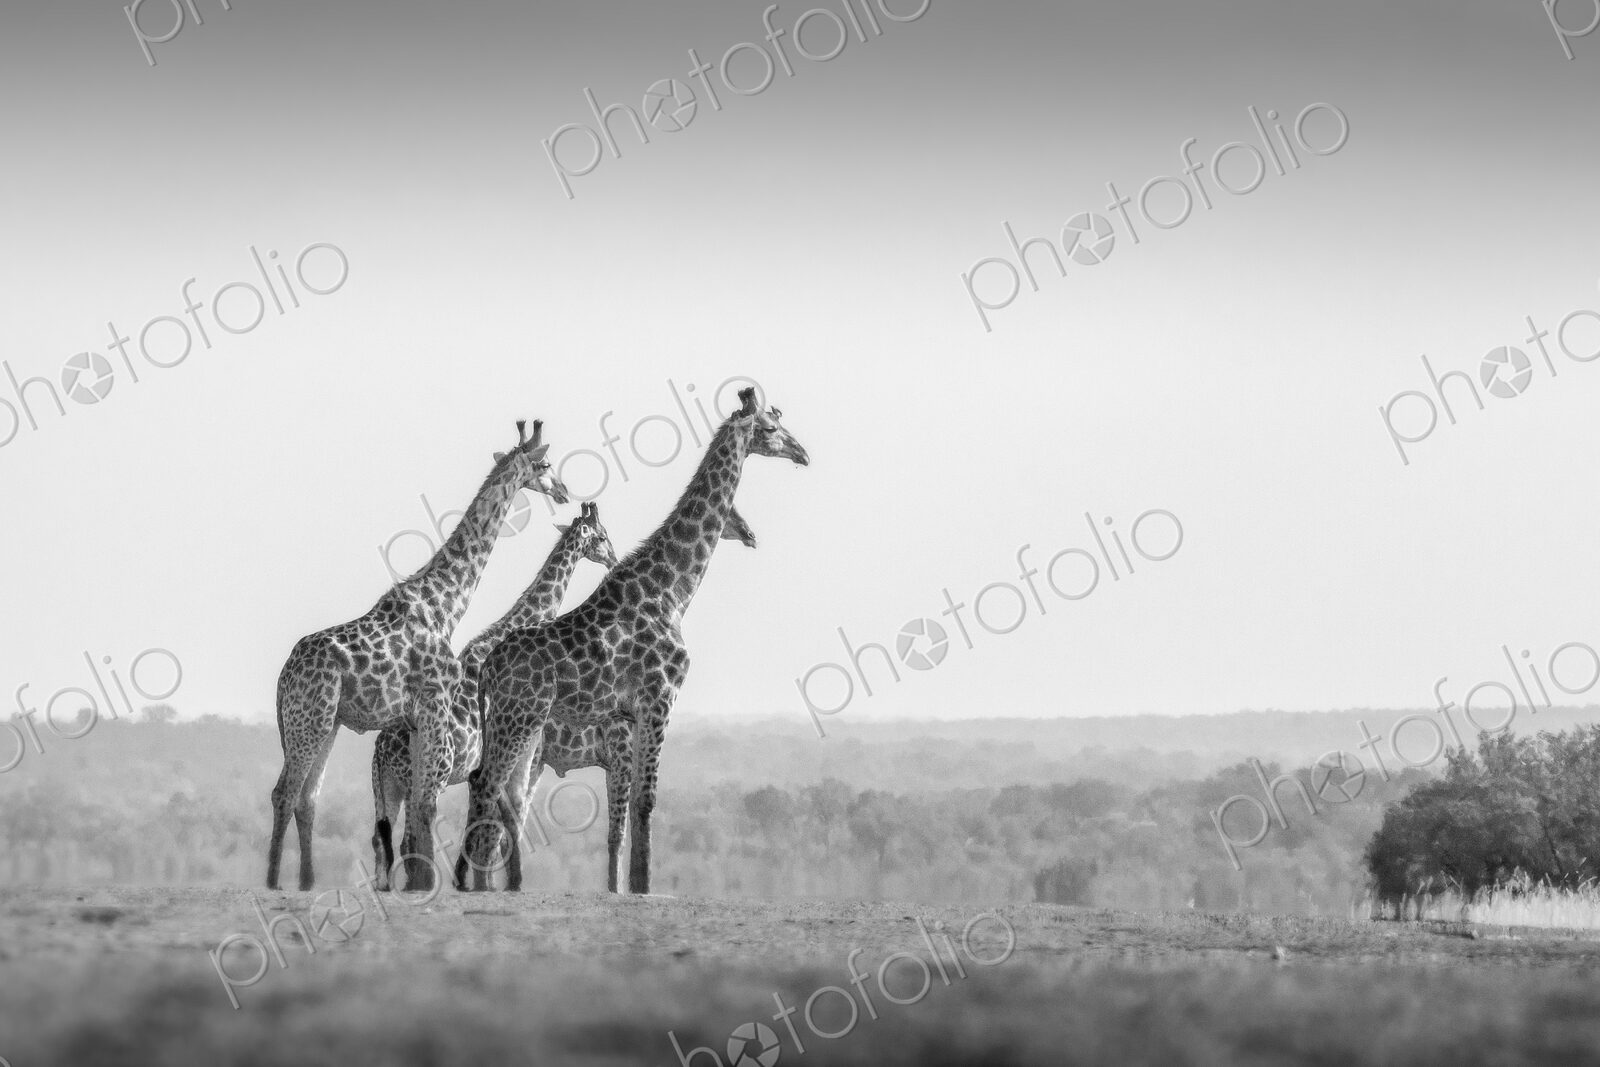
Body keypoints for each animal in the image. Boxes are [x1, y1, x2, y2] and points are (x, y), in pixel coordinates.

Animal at [266, 420, 568, 892]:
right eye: (547, 464)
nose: (565, 492)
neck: (446, 606)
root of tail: (283, 677)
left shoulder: (413, 719)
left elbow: (419, 810)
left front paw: (419, 883)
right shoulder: (434, 703)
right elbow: (426, 805)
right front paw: (425, 886)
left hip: (325, 722)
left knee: (307, 797)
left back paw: (308, 882)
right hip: (309, 718)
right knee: (285, 792)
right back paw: (274, 881)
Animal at [461, 387, 807, 893]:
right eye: (770, 427)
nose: (803, 453)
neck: (673, 592)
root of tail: (487, 668)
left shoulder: (634, 715)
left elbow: (629, 814)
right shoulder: (658, 699)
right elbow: (646, 802)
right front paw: (642, 886)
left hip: (518, 727)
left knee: (495, 793)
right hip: (517, 719)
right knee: (488, 788)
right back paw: (487, 885)